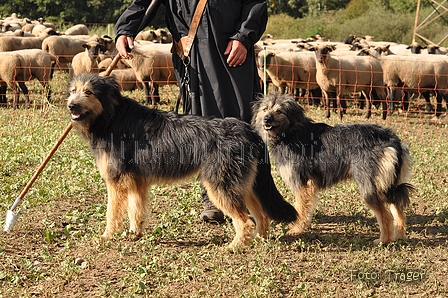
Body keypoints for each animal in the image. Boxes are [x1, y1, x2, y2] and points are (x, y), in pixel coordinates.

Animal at [65, 73, 298, 248]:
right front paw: (135, 233)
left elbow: (111, 213)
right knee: (261, 216)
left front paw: (106, 236)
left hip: (220, 186)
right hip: (243, 185)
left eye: (88, 92)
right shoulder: (137, 182)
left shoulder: (116, 181)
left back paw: (234, 247)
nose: (71, 106)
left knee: (245, 220)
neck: (111, 115)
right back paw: (259, 240)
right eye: (73, 91)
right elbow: (136, 210)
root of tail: (249, 131)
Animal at [250, 93, 414, 244]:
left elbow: (300, 208)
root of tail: (392, 139)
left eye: (279, 111)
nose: (266, 119)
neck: (290, 133)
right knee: (398, 209)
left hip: (369, 186)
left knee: (386, 215)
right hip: (388, 184)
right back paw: (399, 236)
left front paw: (296, 229)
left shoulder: (302, 183)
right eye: (265, 109)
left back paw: (383, 241)